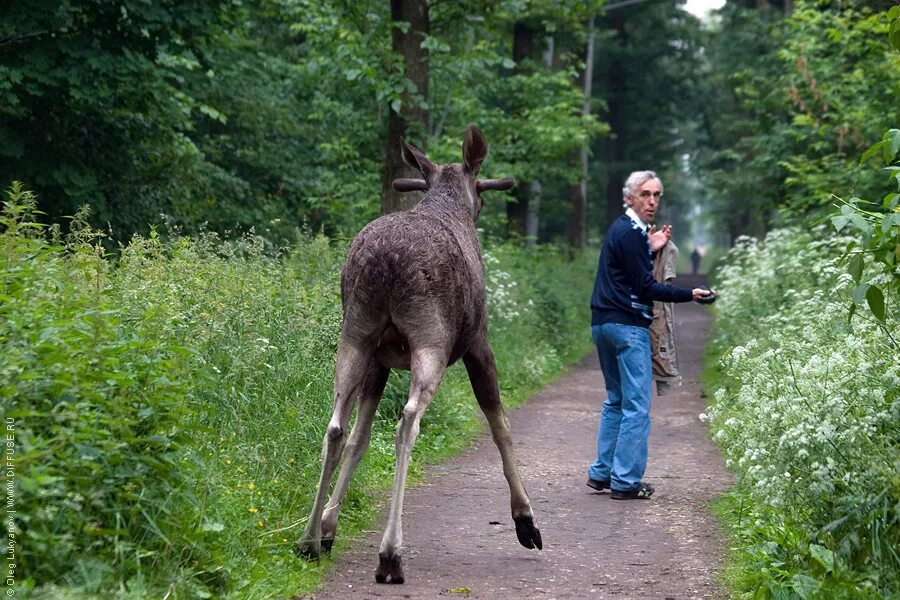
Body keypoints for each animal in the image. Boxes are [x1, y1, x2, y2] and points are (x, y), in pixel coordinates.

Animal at [298, 125, 540, 580]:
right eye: (480, 191)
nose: (483, 200)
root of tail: (386, 263)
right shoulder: (478, 344)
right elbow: (500, 426)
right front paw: (526, 519)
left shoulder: (379, 362)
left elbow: (359, 438)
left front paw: (329, 526)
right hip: (431, 342)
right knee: (407, 422)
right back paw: (390, 553)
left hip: (354, 336)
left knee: (336, 427)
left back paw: (307, 540)